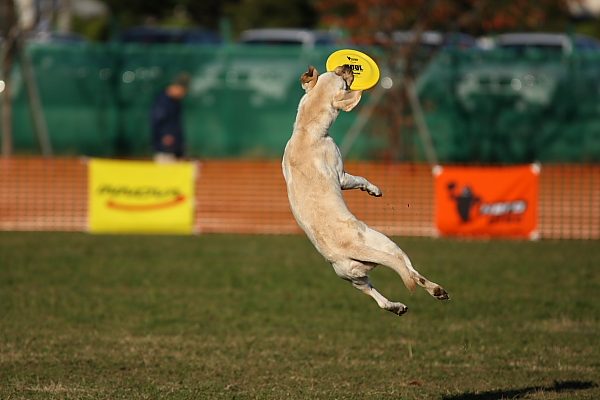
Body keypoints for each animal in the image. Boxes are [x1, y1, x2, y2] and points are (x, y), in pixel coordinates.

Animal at [282, 65, 450, 316]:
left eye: (335, 71)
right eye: (342, 78)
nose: (346, 67)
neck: (306, 130)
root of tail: (353, 247)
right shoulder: (341, 175)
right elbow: (359, 178)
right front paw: (374, 190)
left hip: (352, 276)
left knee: (377, 295)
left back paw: (396, 307)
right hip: (388, 244)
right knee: (411, 273)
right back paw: (436, 290)